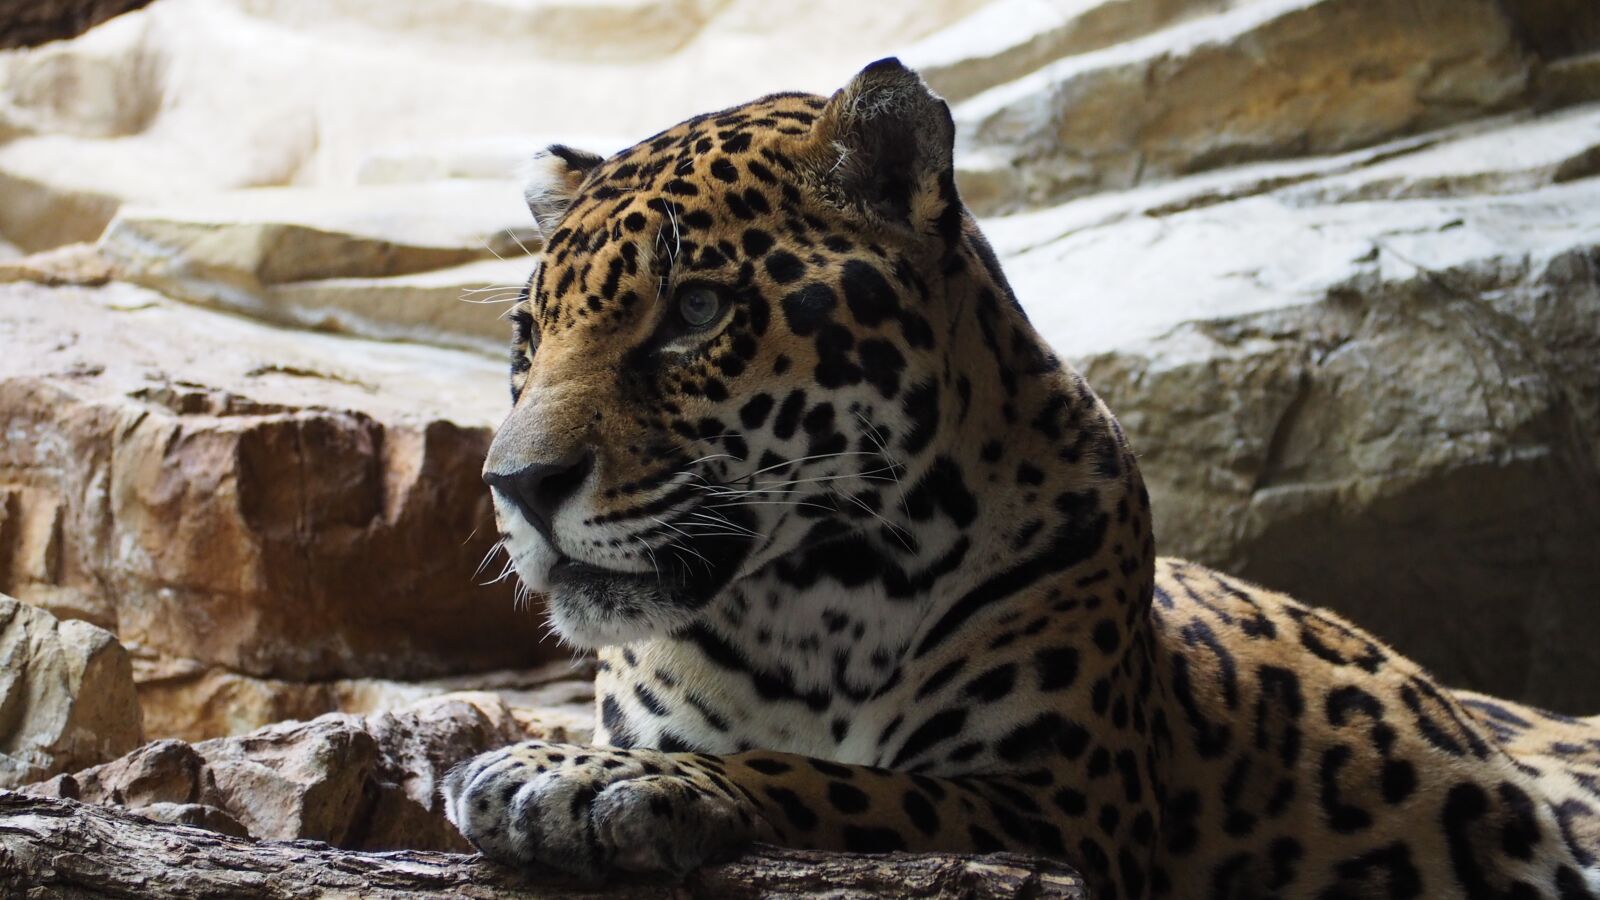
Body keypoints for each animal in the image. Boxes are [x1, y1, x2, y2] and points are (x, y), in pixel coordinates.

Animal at [443, 58, 1600, 899]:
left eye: (694, 310)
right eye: (529, 337)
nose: (517, 486)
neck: (812, 604)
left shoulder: (1063, 806)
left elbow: (838, 780)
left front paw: (566, 779)